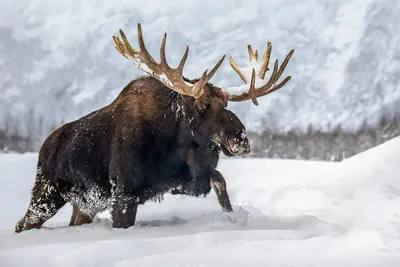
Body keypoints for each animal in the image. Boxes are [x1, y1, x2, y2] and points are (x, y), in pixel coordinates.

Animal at [15, 23, 294, 232]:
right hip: (46, 194)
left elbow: (219, 181)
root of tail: (43, 147)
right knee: (23, 223)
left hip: (83, 205)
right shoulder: (124, 193)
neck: (174, 145)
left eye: (225, 102)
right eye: (201, 105)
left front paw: (231, 218)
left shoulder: (181, 181)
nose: (241, 139)